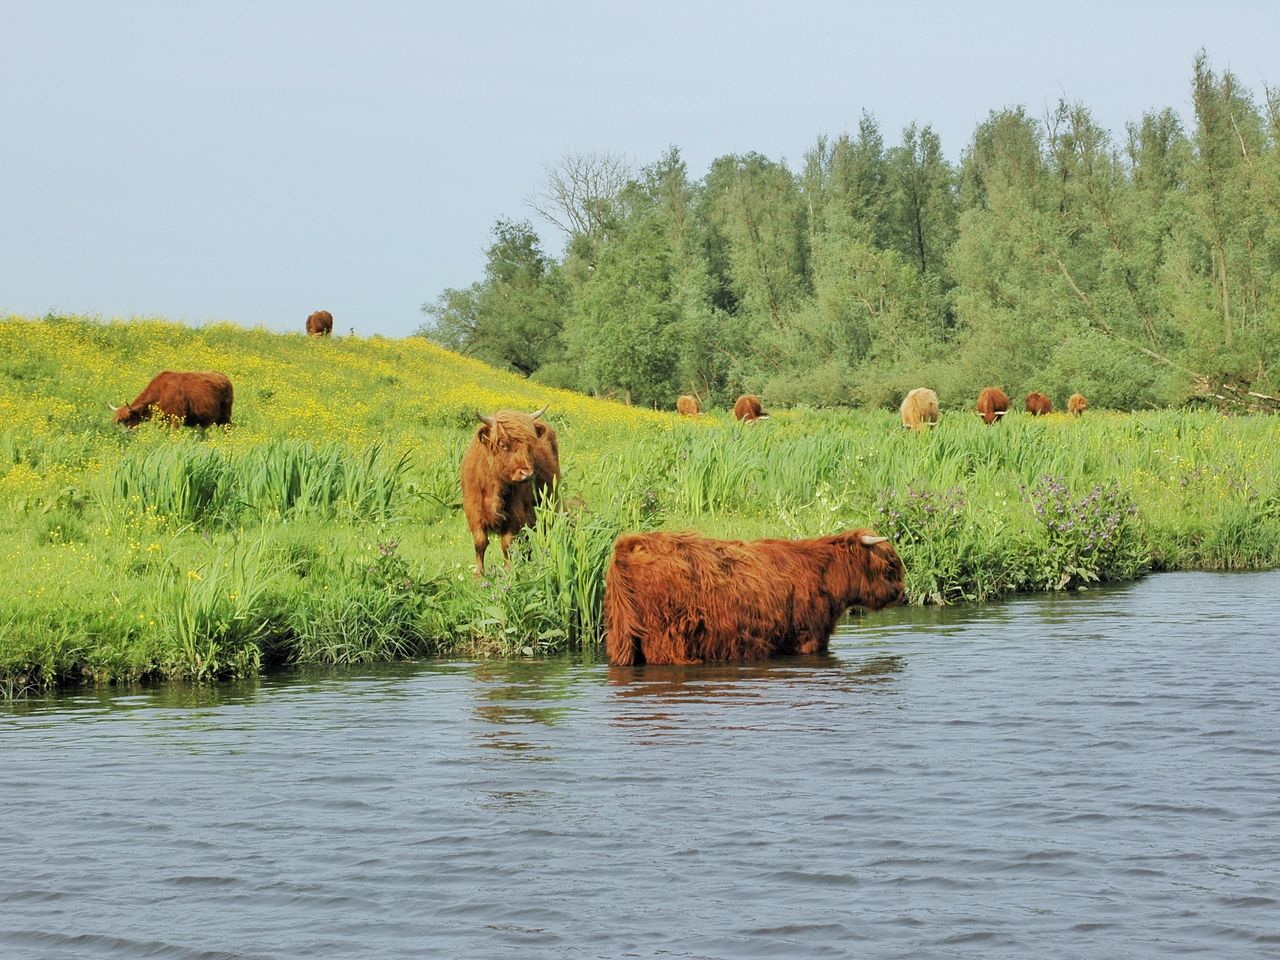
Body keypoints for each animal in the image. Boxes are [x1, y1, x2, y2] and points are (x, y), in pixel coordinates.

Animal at [604, 527, 906, 670]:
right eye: (891, 566)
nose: (902, 594)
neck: (824, 573)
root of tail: (629, 545)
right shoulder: (809, 637)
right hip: (665, 637)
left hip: (622, 638)